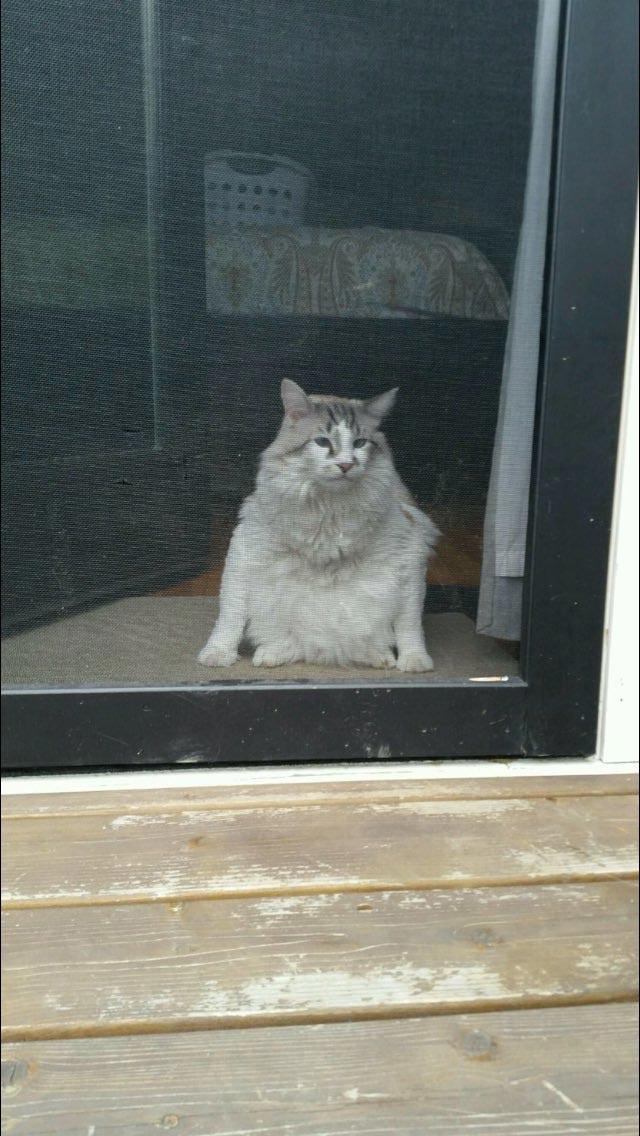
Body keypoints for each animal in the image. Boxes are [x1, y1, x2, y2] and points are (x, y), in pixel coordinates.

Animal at [198, 377, 441, 667]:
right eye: (323, 442)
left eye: (360, 443)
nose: (346, 465)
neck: (329, 507)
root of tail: (322, 653)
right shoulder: (243, 551)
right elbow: (228, 619)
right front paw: (217, 654)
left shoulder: (410, 555)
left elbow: (410, 627)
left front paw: (415, 661)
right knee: (294, 643)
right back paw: (271, 655)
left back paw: (379, 658)